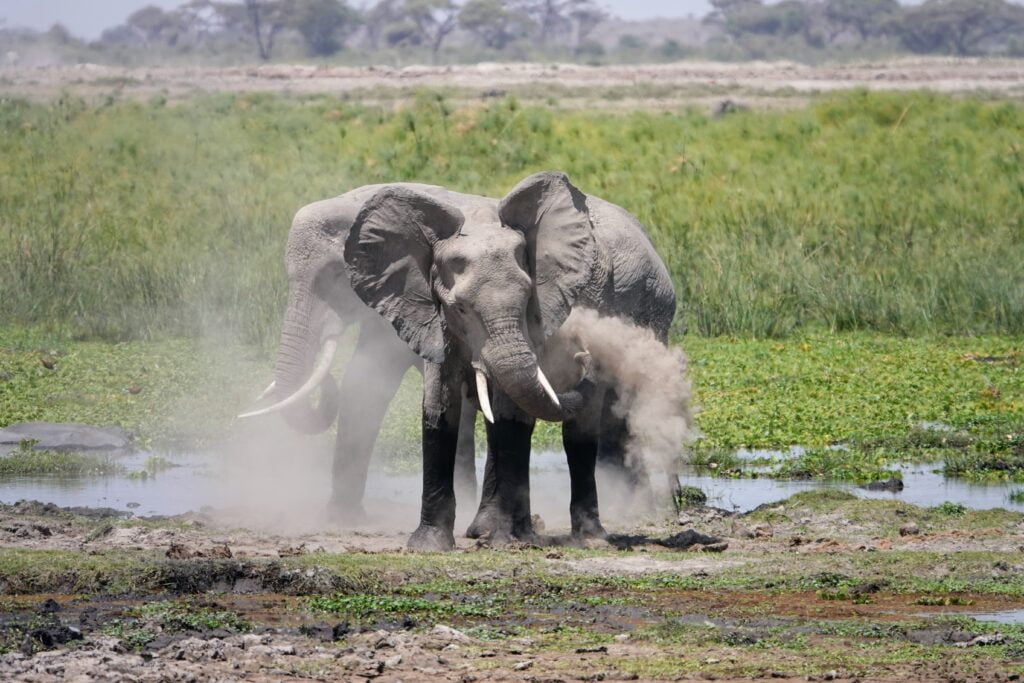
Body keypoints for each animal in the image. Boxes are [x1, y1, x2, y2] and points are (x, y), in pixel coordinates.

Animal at [346, 171, 679, 548]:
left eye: (526, 300)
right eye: (460, 309)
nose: (584, 354)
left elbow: (510, 411)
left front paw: (503, 541)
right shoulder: (432, 316)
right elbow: (438, 410)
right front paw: (428, 546)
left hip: (652, 309)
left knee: (583, 426)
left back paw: (586, 537)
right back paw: (489, 530)